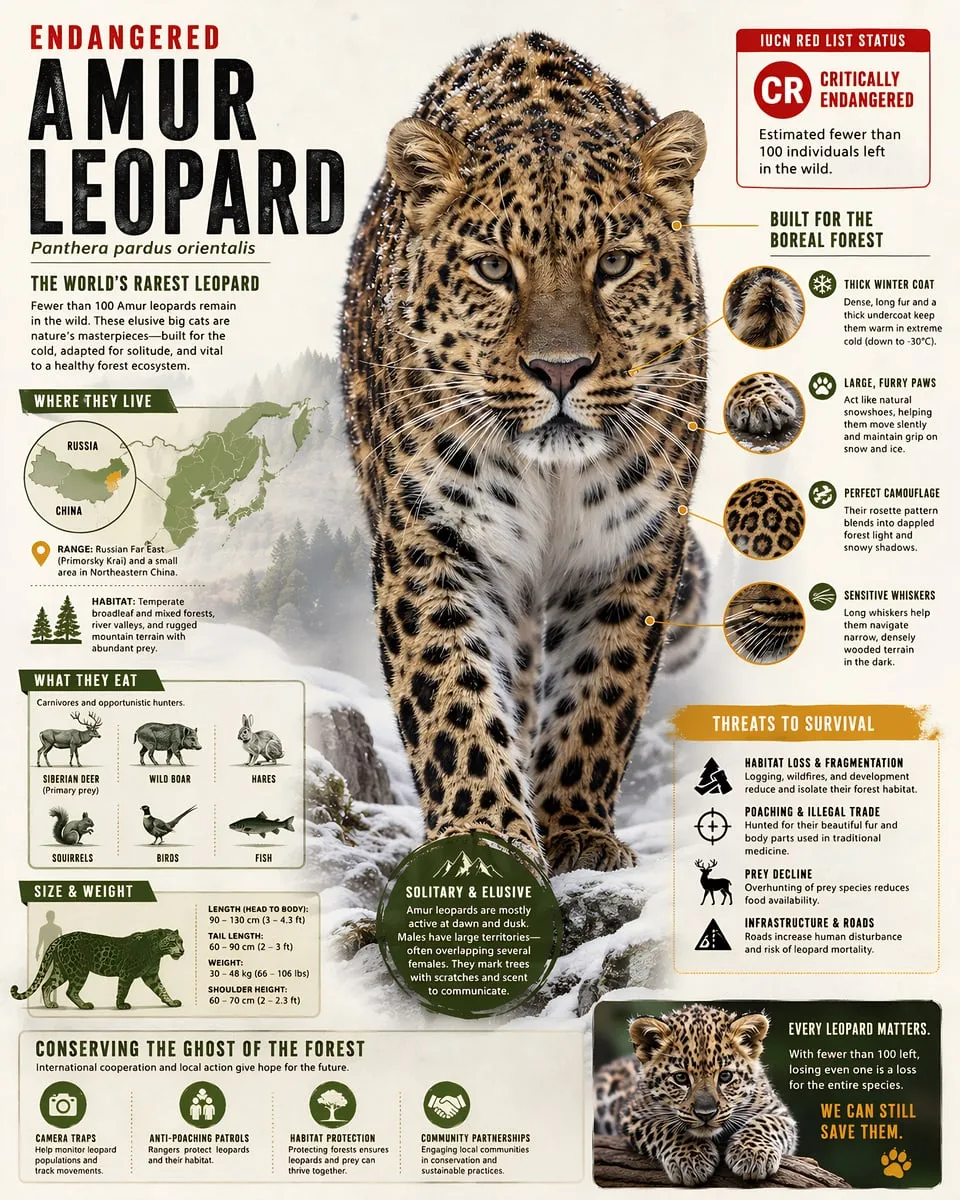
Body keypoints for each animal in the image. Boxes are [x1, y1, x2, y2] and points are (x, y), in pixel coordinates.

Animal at [10, 928, 184, 1010]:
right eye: (173, 942)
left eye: (181, 941)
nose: (182, 951)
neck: (157, 952)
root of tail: (61, 938)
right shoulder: (126, 973)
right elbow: (123, 990)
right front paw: (121, 1005)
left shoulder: (151, 975)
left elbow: (162, 989)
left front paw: (171, 1002)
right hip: (78, 971)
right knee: (70, 991)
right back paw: (84, 1006)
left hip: (61, 971)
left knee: (47, 986)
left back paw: (49, 1005)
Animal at [341, 31, 709, 874]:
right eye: (492, 269)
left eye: (614, 264)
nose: (561, 370)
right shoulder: (432, 540)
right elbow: (452, 693)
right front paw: (485, 833)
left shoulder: (631, 547)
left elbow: (600, 692)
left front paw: (577, 832)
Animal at [593, 1004, 797, 1186]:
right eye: (681, 1078)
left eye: (725, 1076)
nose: (705, 1114)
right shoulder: (633, 1114)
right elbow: (666, 1127)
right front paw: (691, 1158)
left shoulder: (778, 1111)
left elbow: (766, 1122)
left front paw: (752, 1154)